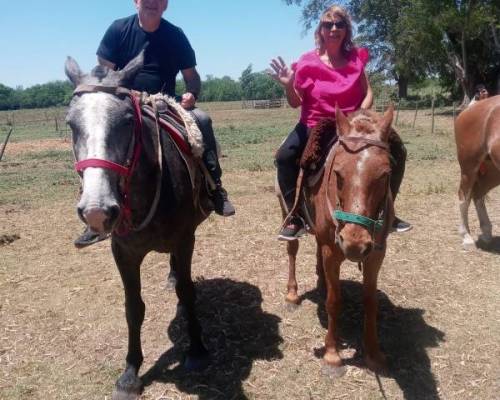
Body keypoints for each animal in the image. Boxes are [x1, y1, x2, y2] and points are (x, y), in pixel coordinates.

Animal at [282, 107, 394, 376]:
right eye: (339, 174)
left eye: (385, 175)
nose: (354, 244)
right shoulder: (332, 252)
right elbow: (334, 301)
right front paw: (332, 355)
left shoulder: (376, 254)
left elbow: (370, 302)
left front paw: (374, 354)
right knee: (292, 250)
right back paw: (292, 294)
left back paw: (322, 283)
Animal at [456, 95, 500, 248]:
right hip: (469, 167)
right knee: (464, 197)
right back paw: (466, 236)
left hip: (493, 171)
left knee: (478, 195)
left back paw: (486, 232)